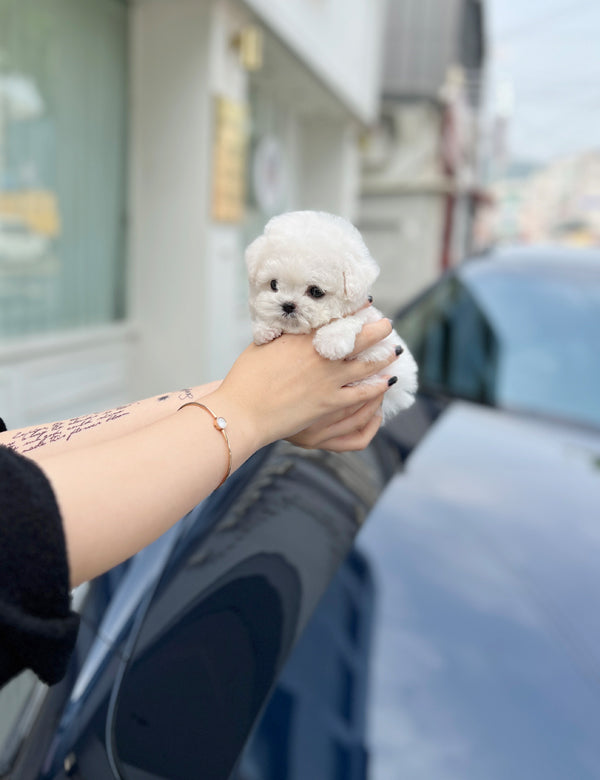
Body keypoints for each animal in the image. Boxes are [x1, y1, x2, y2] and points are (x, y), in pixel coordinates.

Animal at [244, 210, 418, 424]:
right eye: (273, 284)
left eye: (316, 291)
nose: (288, 305)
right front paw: (264, 329)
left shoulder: (369, 321)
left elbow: (351, 320)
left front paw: (331, 342)